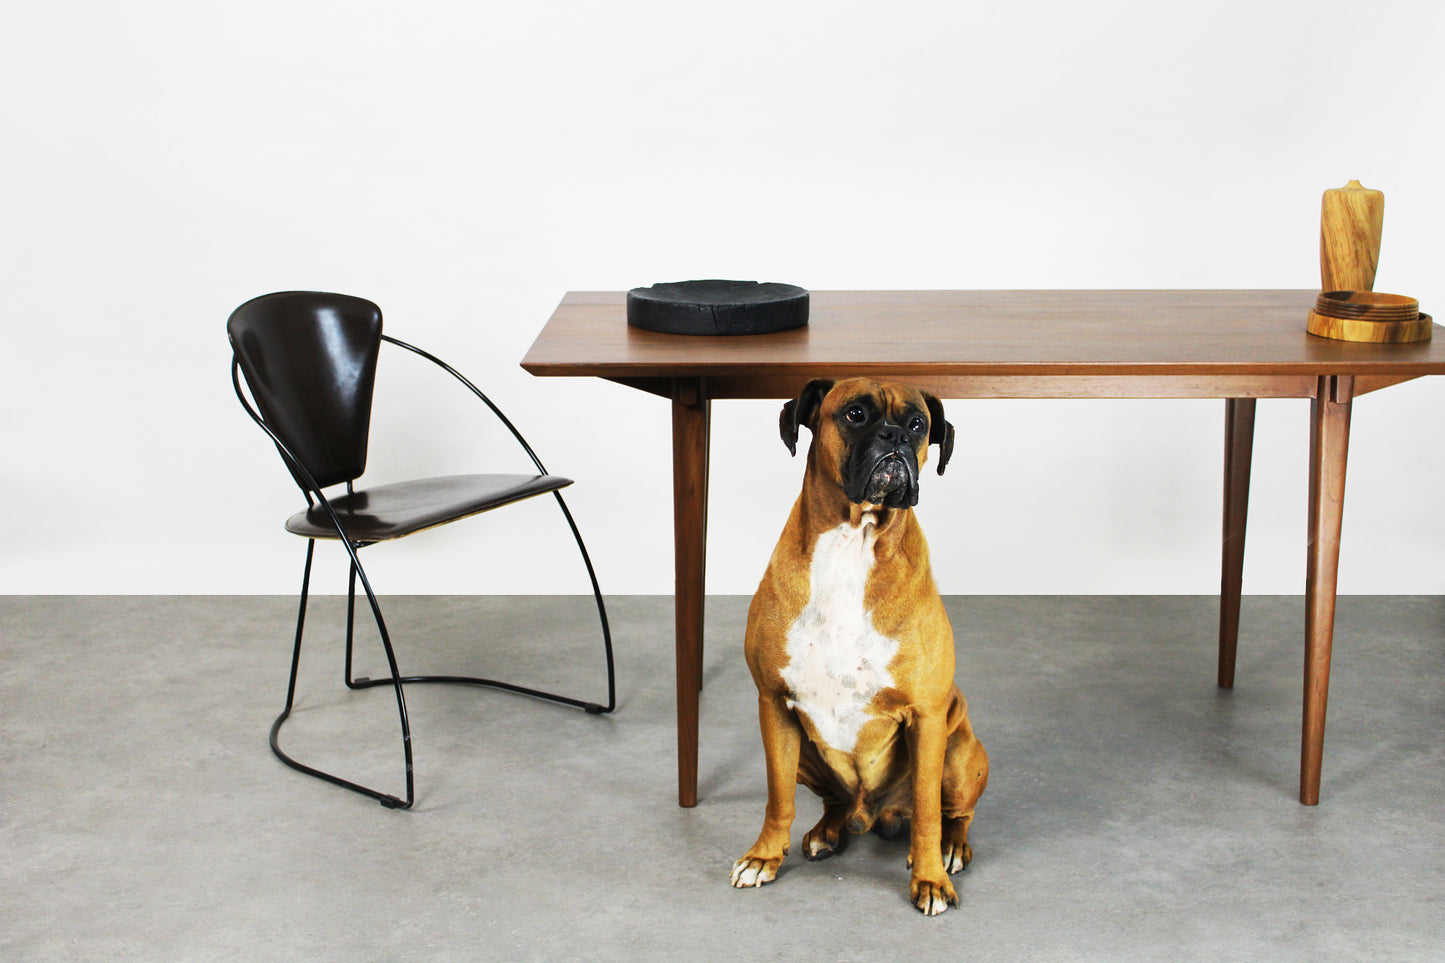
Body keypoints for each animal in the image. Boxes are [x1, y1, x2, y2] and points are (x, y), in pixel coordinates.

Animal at [728, 375, 988, 913]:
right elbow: (777, 796)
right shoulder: (774, 705)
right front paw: (764, 856)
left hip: (958, 754)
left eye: (918, 424)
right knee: (835, 801)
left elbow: (927, 813)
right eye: (854, 415)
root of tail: (872, 814)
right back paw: (828, 831)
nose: (895, 437)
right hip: (808, 751)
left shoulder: (927, 717)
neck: (854, 542)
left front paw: (930, 879)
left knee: (954, 814)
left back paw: (952, 848)